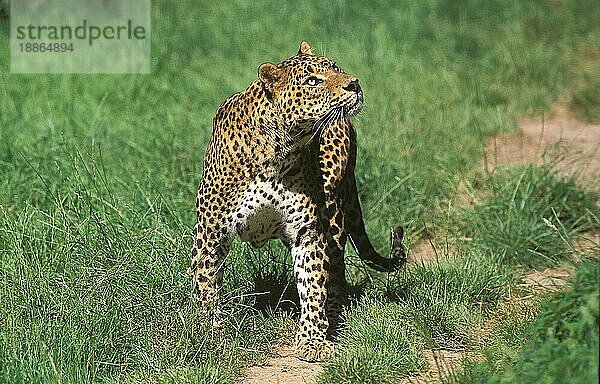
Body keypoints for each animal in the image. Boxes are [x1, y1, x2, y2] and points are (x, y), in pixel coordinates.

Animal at [191, 42, 408, 364]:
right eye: (312, 81)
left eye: (336, 68)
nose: (354, 84)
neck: (279, 150)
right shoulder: (210, 233)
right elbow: (206, 284)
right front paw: (212, 333)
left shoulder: (307, 232)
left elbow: (313, 285)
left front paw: (313, 340)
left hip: (333, 211)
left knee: (336, 272)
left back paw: (334, 314)